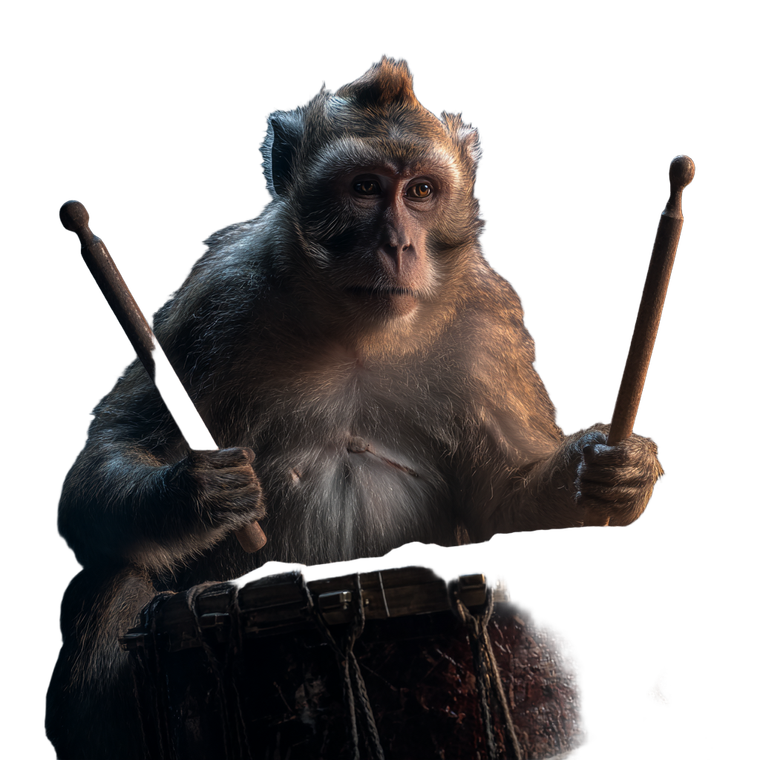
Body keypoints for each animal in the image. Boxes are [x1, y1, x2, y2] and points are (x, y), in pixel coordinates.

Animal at [46, 56, 664, 758]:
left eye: (421, 192)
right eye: (365, 187)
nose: (399, 245)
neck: (356, 333)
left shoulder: (489, 326)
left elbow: (503, 500)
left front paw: (610, 474)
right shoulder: (218, 296)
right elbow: (112, 455)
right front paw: (197, 491)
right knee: (115, 575)